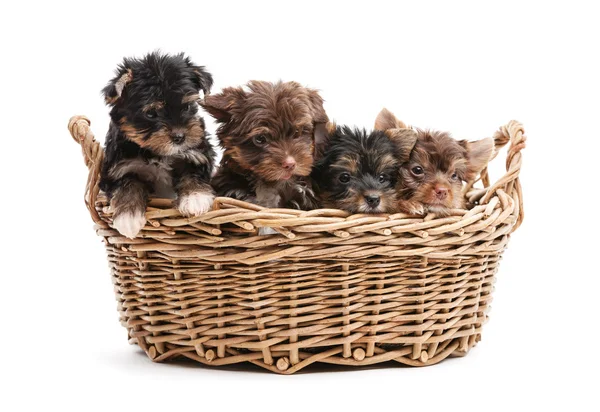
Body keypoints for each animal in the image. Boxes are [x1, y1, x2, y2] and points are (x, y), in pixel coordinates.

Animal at [99, 51, 217, 238]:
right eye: (151, 113)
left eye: (187, 107)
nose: (179, 137)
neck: (156, 152)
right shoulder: (116, 170)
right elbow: (128, 183)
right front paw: (128, 217)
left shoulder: (199, 153)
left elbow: (193, 172)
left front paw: (195, 198)